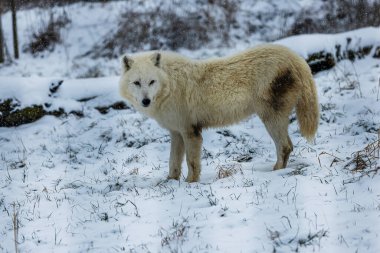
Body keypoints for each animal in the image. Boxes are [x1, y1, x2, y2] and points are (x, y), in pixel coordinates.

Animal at [120, 45, 320, 182]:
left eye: (151, 82)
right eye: (137, 83)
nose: (146, 101)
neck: (171, 84)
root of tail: (296, 57)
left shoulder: (191, 132)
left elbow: (192, 163)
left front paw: (190, 183)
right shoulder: (176, 132)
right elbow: (173, 163)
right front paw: (170, 182)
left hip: (270, 118)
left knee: (285, 147)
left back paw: (276, 172)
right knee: (287, 146)